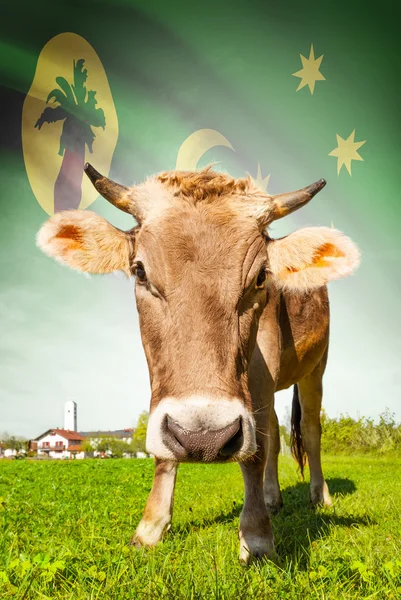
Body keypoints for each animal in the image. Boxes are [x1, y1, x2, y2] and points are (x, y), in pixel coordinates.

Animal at [36, 164, 360, 564]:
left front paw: (256, 536)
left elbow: (254, 452)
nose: (203, 438)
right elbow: (167, 449)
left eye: (261, 276)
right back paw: (272, 498)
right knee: (271, 429)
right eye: (139, 271)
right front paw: (150, 527)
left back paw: (319, 496)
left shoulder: (263, 364)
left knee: (310, 431)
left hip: (316, 367)